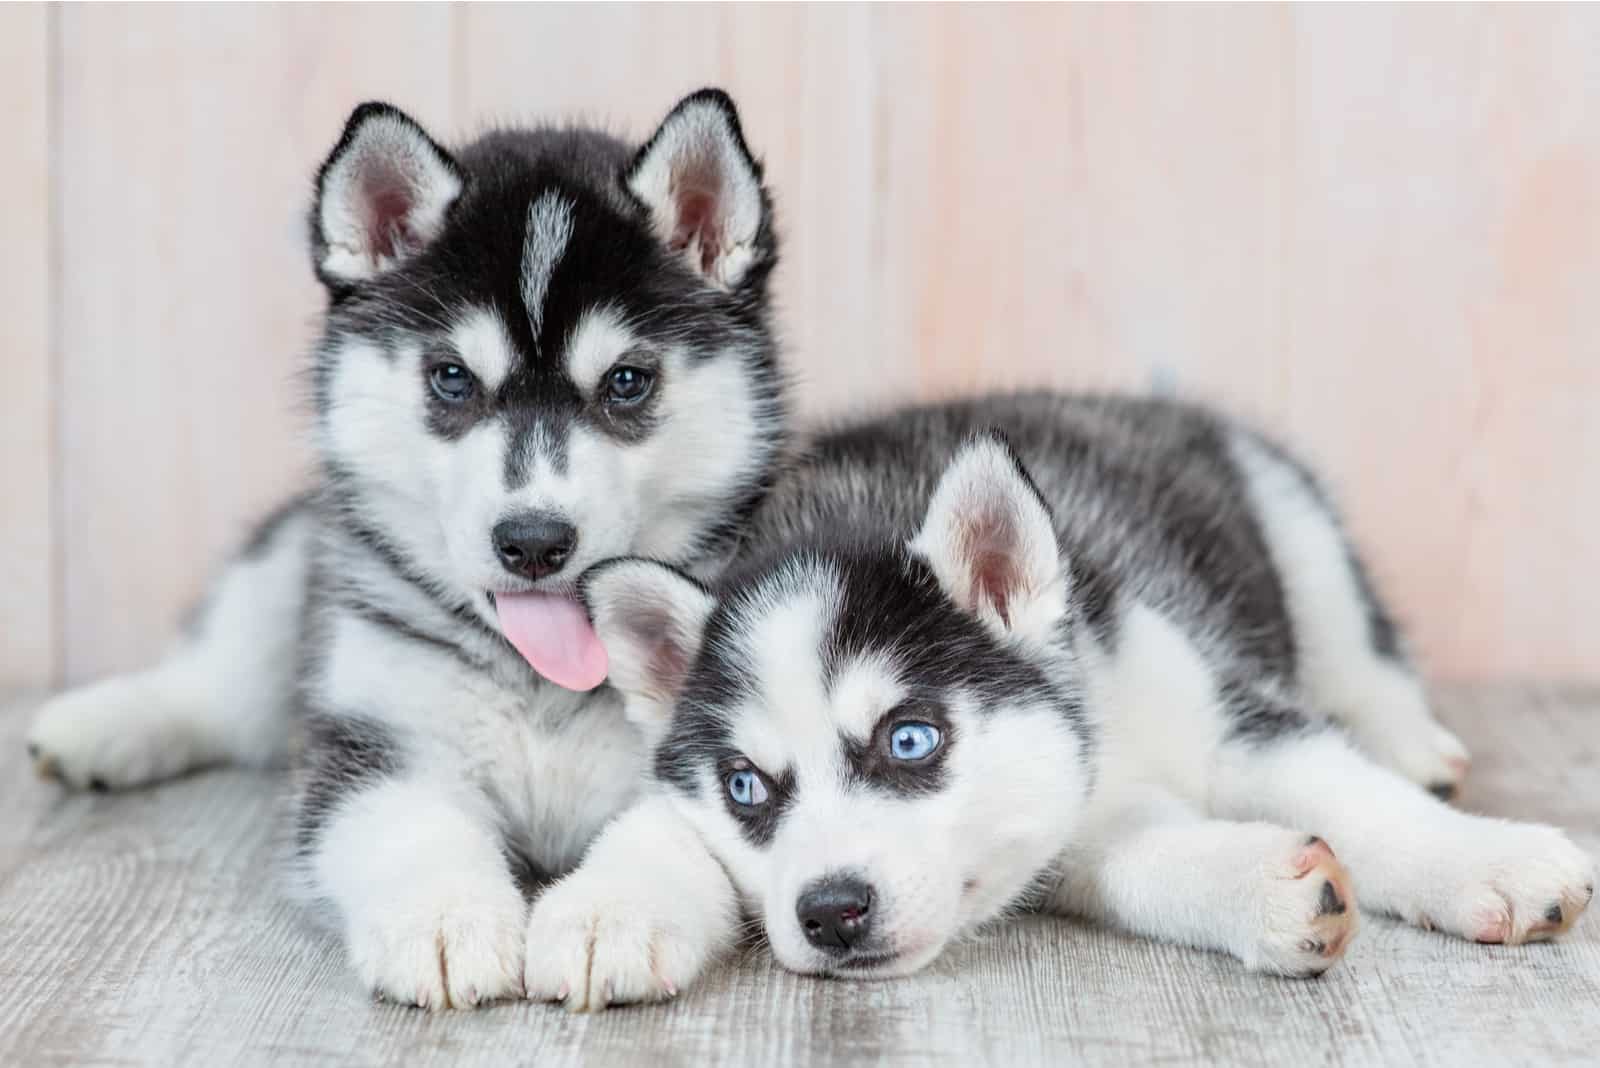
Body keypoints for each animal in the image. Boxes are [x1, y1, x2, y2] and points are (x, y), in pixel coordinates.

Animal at [29, 89, 787, 1010]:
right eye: (452, 379)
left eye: (627, 383)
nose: (533, 541)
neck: (534, 680)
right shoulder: (374, 741)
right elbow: (407, 826)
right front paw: (447, 919)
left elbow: (674, 829)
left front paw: (612, 913)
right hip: (297, 565)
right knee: (223, 682)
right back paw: (105, 722)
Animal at [531, 394, 1593, 1010]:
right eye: (746, 788)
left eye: (909, 740)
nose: (830, 912)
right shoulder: (1067, 825)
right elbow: (1141, 860)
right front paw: (610, 906)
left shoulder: (1226, 718)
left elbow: (1354, 796)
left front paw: (1490, 859)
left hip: (1289, 516)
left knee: (1359, 651)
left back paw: (1408, 737)